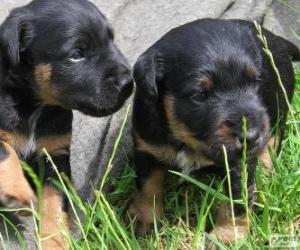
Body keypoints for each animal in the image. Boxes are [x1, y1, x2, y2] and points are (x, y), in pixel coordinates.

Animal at [0, 0, 132, 248]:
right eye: (77, 54)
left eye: (111, 39)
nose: (128, 82)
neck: (36, 106)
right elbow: (6, 151)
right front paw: (17, 193)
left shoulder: (55, 156)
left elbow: (55, 204)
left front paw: (55, 241)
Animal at [129, 19, 298, 244]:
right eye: (200, 95)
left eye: (255, 81)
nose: (251, 137)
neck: (188, 139)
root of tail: (276, 38)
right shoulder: (147, 147)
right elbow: (147, 186)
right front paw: (143, 220)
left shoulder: (238, 163)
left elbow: (236, 201)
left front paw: (226, 238)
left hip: (279, 109)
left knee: (271, 143)